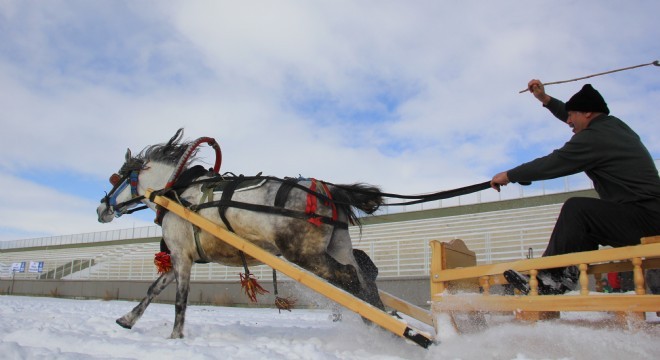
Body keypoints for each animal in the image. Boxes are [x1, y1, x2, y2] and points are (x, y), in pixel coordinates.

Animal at [98, 129, 386, 338]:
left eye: (116, 177)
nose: (101, 208)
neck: (178, 190)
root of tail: (327, 190)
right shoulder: (183, 256)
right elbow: (154, 288)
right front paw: (127, 319)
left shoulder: (180, 256)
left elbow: (180, 299)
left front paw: (175, 336)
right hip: (338, 247)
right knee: (364, 279)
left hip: (306, 255)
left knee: (349, 277)